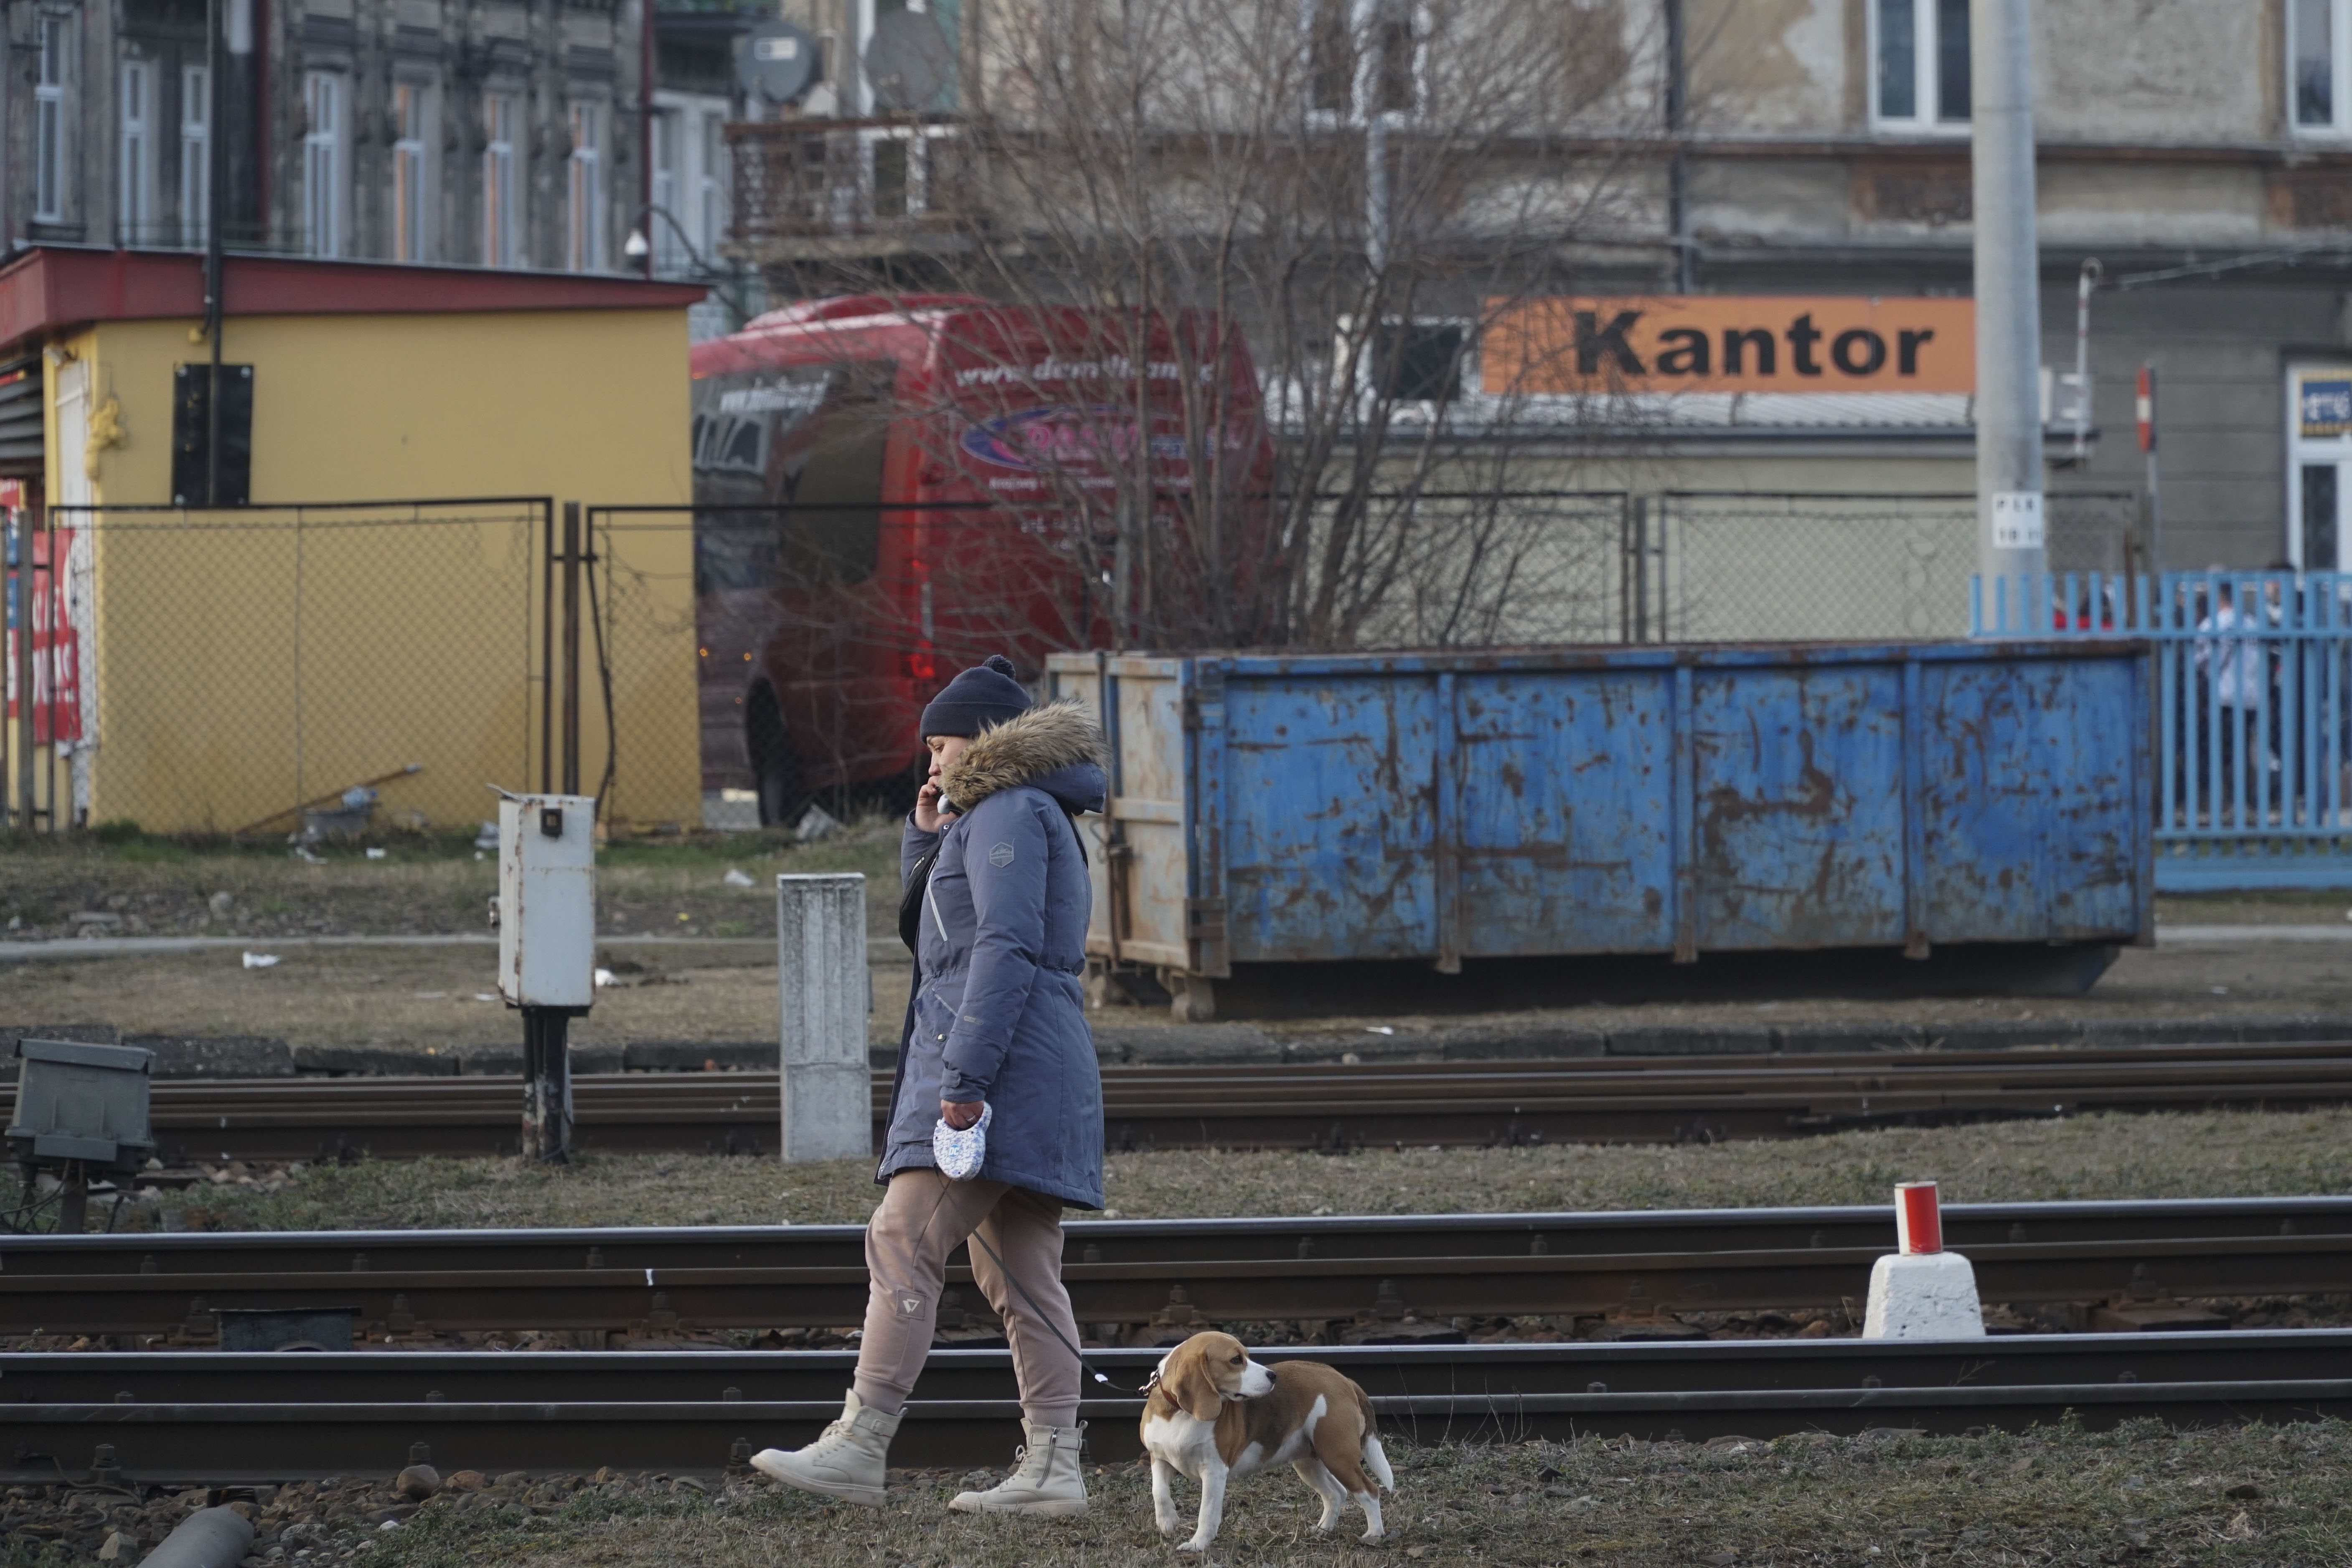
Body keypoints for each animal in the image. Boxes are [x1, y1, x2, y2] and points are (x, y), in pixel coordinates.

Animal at [1143, 1335, 1392, 1551]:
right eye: (1236, 1360)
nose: (1273, 1376)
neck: (1178, 1412)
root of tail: (1343, 1379)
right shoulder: (1159, 1458)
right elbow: (1159, 1491)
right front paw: (1168, 1522)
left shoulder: (1214, 1471)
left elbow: (1207, 1512)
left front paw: (1197, 1545)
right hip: (1309, 1463)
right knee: (1336, 1493)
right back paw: (1323, 1530)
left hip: (1338, 1456)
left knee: (1370, 1492)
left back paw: (1374, 1535)